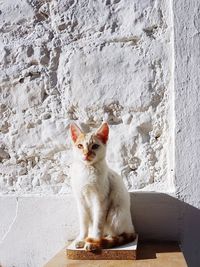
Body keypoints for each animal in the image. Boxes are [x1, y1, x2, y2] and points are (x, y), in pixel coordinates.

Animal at [69, 122, 136, 252]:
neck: (87, 170)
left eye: (95, 146)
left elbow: (98, 225)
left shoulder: (101, 202)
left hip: (114, 214)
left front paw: (94, 242)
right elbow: (83, 224)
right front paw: (81, 239)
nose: (86, 154)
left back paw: (102, 239)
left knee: (117, 235)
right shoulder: (81, 202)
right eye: (80, 146)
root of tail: (133, 229)